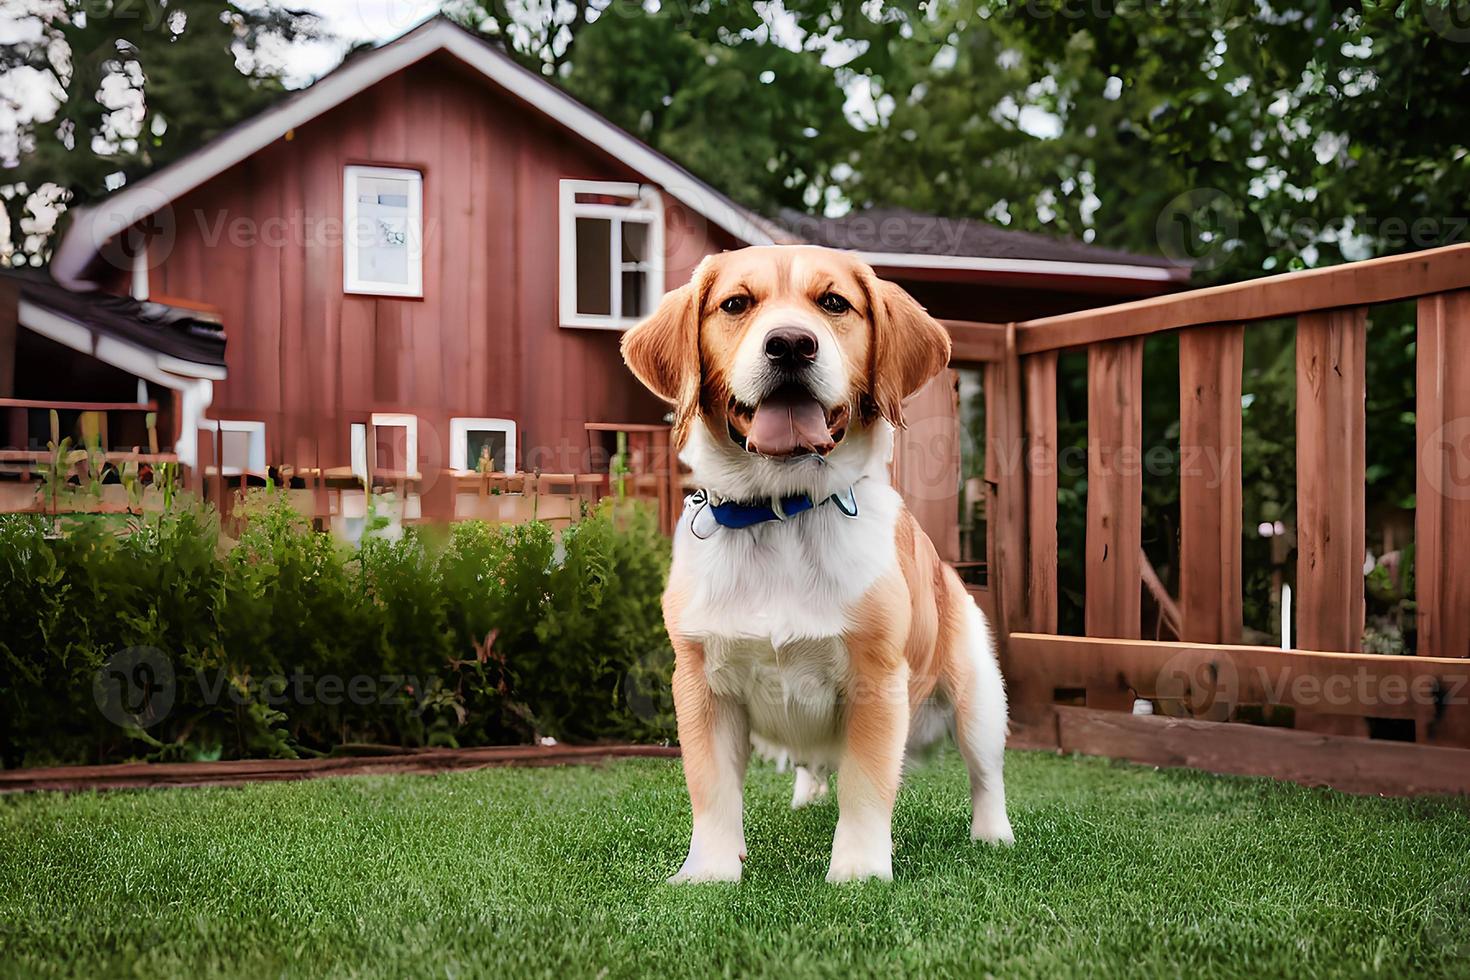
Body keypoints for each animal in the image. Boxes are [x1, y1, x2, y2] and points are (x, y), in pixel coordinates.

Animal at [620, 246, 1011, 887]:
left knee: (987, 775)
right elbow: (712, 790)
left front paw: (858, 872)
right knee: (814, 763)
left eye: (833, 302)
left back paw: (993, 835)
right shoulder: (702, 685)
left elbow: (865, 787)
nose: (790, 344)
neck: (782, 512)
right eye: (736, 303)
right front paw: (709, 872)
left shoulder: (876, 682)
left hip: (978, 699)